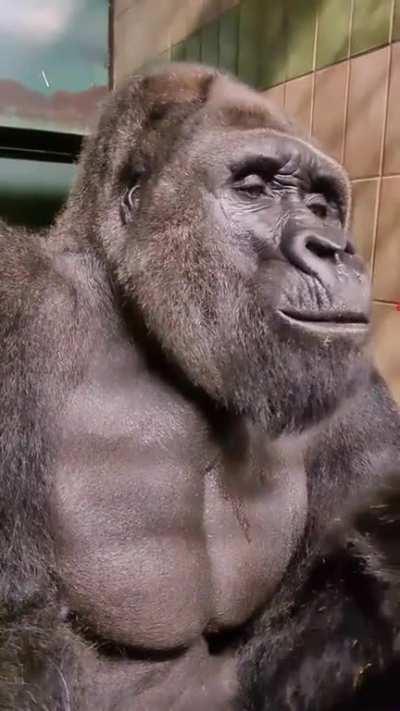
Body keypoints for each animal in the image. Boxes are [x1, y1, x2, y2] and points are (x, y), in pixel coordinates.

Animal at [0, 62, 399, 710]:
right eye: (254, 187)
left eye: (321, 204)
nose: (334, 247)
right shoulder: (17, 302)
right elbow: (15, 631)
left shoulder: (350, 377)